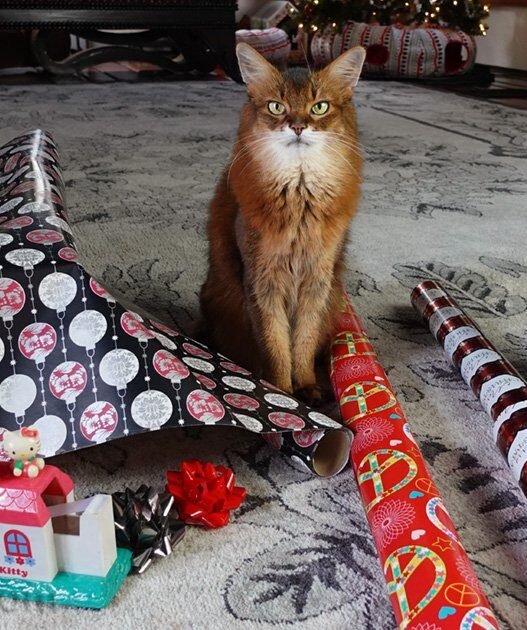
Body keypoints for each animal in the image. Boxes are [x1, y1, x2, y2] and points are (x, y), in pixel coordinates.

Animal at [199, 43, 366, 406]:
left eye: (319, 107)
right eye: (277, 106)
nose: (298, 126)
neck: (300, 200)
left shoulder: (318, 280)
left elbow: (303, 340)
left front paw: (306, 386)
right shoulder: (262, 281)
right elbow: (275, 344)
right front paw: (281, 392)